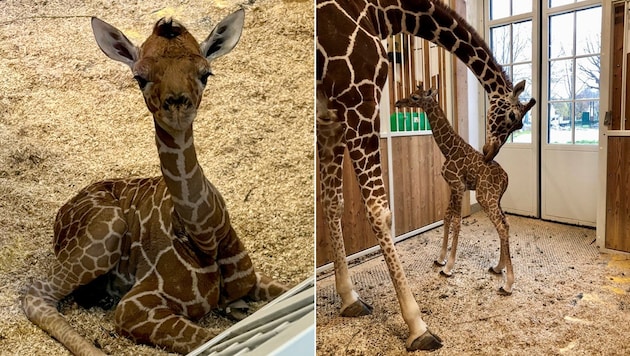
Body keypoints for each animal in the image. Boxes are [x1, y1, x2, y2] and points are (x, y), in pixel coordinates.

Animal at [22, 9, 288, 354]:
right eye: (140, 78)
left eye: (206, 73)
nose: (177, 104)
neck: (205, 235)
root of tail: (61, 213)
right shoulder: (135, 305)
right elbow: (210, 339)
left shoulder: (254, 279)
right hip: (104, 233)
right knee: (35, 295)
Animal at [400, 87, 520, 294]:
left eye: (414, 97)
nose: (398, 102)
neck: (448, 149)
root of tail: (506, 179)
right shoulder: (453, 187)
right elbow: (446, 217)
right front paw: (440, 259)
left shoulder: (457, 185)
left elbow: (456, 222)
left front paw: (448, 267)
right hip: (495, 199)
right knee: (505, 223)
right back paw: (498, 267)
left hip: (484, 197)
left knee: (502, 226)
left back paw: (508, 284)